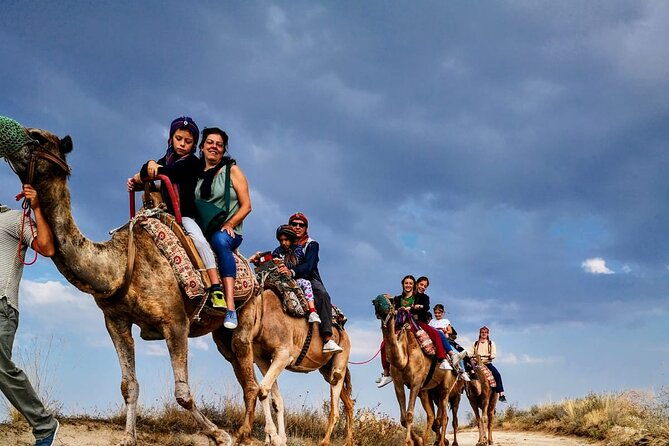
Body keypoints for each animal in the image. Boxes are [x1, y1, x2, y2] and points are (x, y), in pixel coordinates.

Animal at [0, 122, 232, 446]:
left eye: (37, 137)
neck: (120, 265)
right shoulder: (115, 320)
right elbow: (129, 385)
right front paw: (128, 437)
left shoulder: (175, 321)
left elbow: (182, 393)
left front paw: (219, 434)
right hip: (224, 334)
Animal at [212, 283, 354, 446]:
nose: (224, 345)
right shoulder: (262, 358)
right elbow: (273, 397)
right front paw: (278, 438)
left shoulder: (284, 354)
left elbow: (263, 389)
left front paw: (274, 437)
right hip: (326, 369)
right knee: (348, 401)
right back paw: (349, 441)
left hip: (341, 357)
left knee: (336, 402)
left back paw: (325, 441)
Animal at [372, 295, 459, 446]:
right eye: (374, 302)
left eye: (391, 300)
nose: (380, 305)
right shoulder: (399, 383)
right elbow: (403, 418)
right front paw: (417, 440)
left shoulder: (416, 382)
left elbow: (409, 414)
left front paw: (408, 441)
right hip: (426, 391)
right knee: (431, 416)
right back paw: (425, 440)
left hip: (446, 386)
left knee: (444, 417)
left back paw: (442, 442)